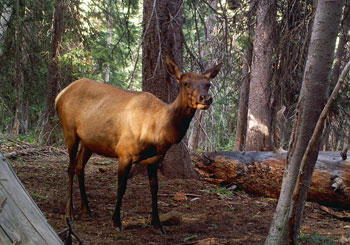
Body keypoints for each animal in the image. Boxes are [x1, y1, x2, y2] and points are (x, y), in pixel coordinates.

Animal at [56, 56, 223, 234]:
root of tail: (60, 95)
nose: (206, 98)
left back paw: (86, 210)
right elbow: (121, 186)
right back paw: (70, 212)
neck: (158, 131)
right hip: (69, 130)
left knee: (79, 167)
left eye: (208, 84)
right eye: (185, 83)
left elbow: (154, 188)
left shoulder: (155, 158)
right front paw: (116, 221)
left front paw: (158, 225)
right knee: (70, 167)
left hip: (89, 142)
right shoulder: (124, 153)